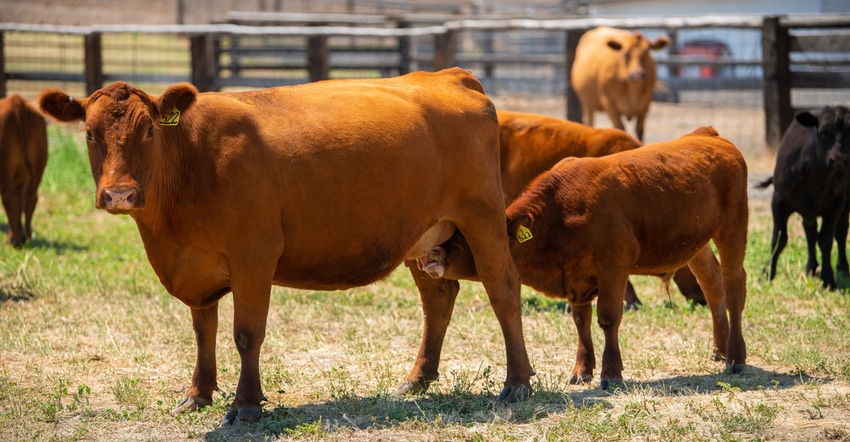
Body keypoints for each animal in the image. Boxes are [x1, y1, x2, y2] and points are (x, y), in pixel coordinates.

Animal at [0, 95, 48, 247]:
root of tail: (15, 100)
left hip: (5, 168)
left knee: (9, 196)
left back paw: (14, 240)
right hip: (37, 164)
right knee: (29, 197)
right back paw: (24, 236)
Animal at [756, 105, 848, 288]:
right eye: (823, 132)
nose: (839, 160)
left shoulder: (837, 203)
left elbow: (826, 238)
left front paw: (828, 278)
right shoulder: (778, 200)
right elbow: (779, 238)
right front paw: (767, 273)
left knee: (840, 233)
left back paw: (842, 268)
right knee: (810, 232)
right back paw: (811, 268)